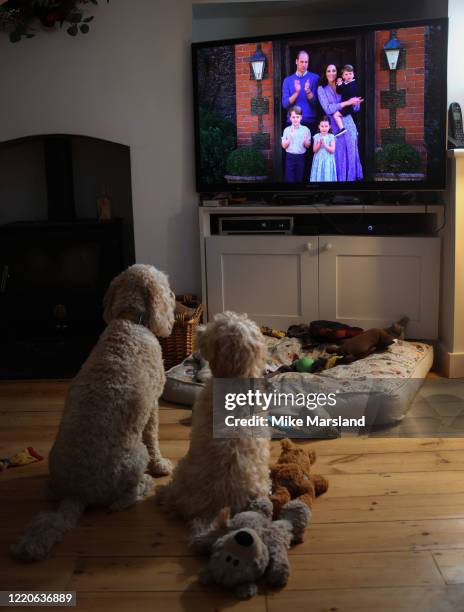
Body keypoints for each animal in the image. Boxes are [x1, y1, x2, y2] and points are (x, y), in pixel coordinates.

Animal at [13, 262, 176, 560]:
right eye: (165, 285)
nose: (173, 295)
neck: (129, 321)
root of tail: (76, 495)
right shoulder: (153, 405)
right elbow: (153, 438)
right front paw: (160, 466)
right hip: (134, 456)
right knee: (119, 502)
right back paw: (144, 483)